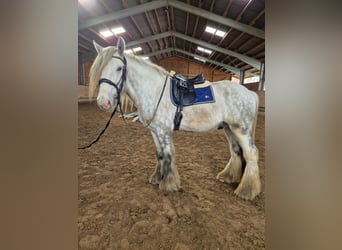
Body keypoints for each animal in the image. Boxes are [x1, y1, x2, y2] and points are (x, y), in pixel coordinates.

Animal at [89, 37, 262, 200]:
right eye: (100, 69)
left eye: (119, 68)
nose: (103, 102)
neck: (154, 90)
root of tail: (250, 93)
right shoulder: (155, 131)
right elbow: (159, 154)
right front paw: (156, 178)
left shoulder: (164, 131)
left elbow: (167, 155)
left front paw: (168, 184)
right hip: (228, 128)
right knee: (236, 151)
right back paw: (228, 177)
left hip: (241, 130)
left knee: (251, 153)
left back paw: (246, 191)